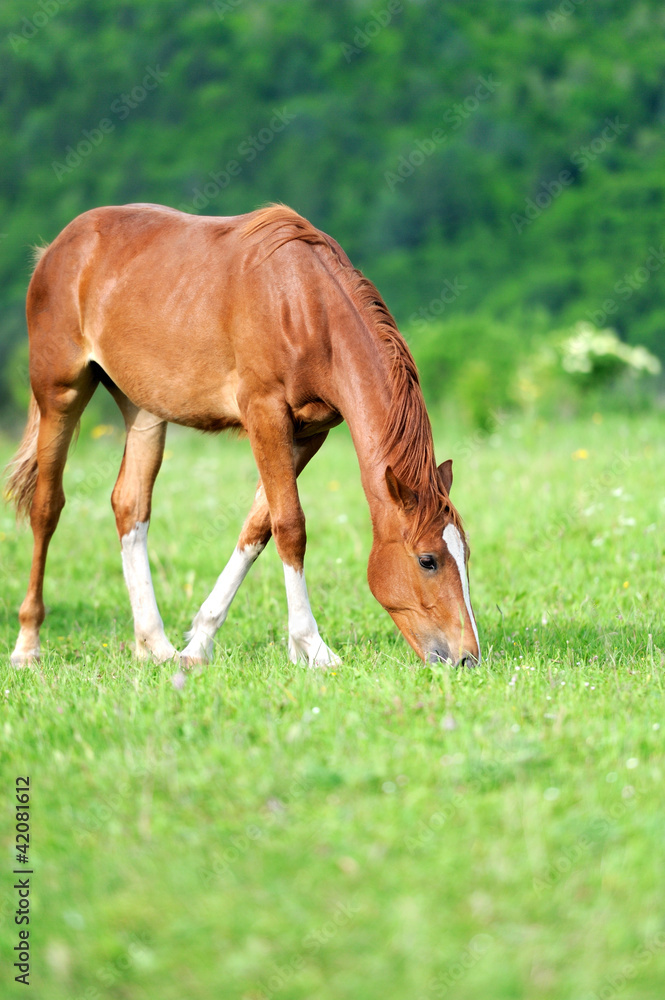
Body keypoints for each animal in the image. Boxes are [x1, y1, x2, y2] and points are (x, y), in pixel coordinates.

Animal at [5, 203, 480, 669]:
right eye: (428, 561)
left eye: (466, 555)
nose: (467, 657)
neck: (307, 306)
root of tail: (56, 248)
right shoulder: (264, 414)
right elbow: (290, 526)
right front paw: (312, 647)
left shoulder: (309, 433)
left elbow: (258, 527)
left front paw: (199, 643)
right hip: (59, 394)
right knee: (47, 508)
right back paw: (27, 645)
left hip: (143, 411)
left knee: (130, 505)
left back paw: (153, 645)